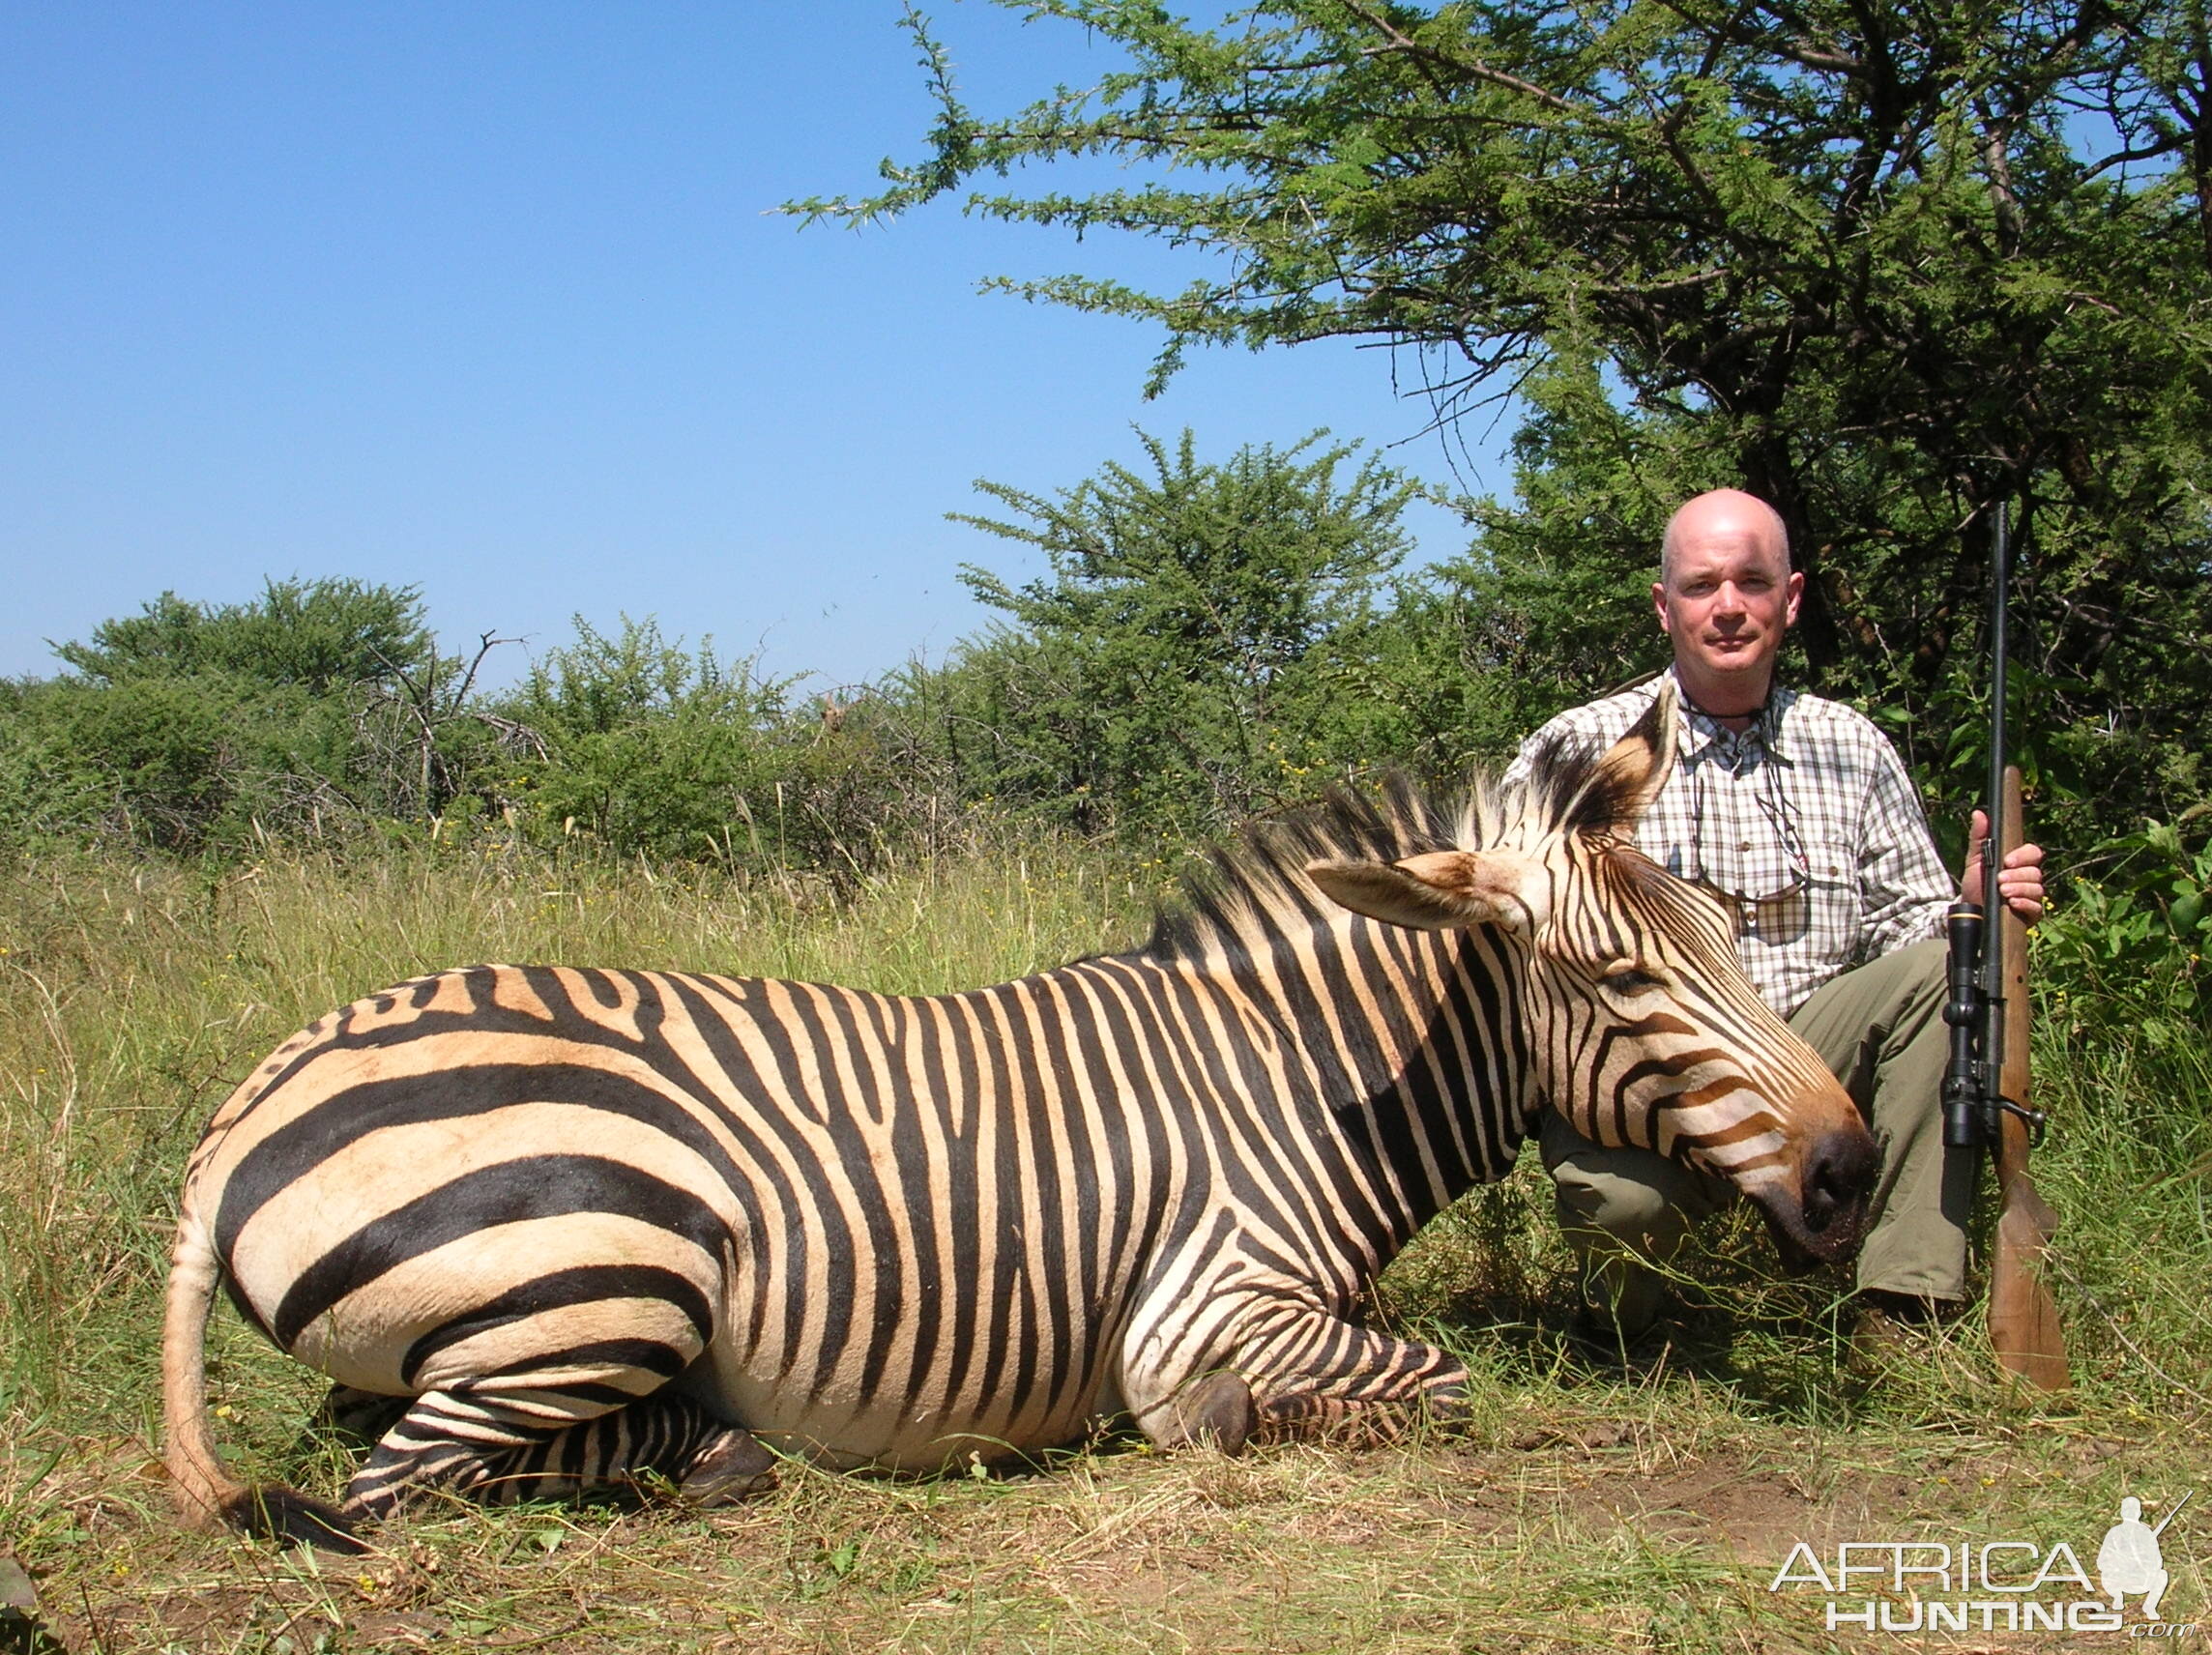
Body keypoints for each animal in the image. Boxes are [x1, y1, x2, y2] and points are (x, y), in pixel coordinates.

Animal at [163, 694, 1876, 1549]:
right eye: (1624, 976)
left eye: (1729, 933)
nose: (1855, 1166)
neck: (1297, 1082)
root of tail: (244, 1107)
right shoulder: (1205, 1309)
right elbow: (1429, 1384)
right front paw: (1234, 1431)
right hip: (608, 1266)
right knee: (407, 1482)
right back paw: (712, 1452)